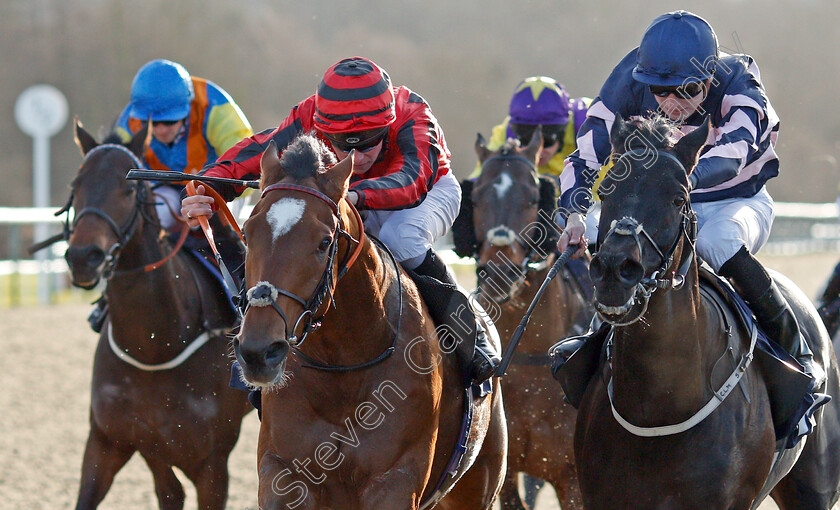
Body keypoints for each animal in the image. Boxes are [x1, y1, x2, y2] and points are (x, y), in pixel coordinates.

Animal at [64, 120, 251, 510]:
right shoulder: (111, 440)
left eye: (128, 188)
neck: (154, 345)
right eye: (77, 186)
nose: (84, 256)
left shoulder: (213, 464)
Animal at [230, 133, 506, 508]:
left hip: (476, 485)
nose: (259, 352)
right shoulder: (283, 470)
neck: (343, 368)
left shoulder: (395, 480)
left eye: (324, 241)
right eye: (247, 232)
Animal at [452, 132, 592, 510]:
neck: (529, 355)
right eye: (476, 198)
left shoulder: (573, 480)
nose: (500, 272)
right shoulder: (509, 470)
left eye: (531, 198)